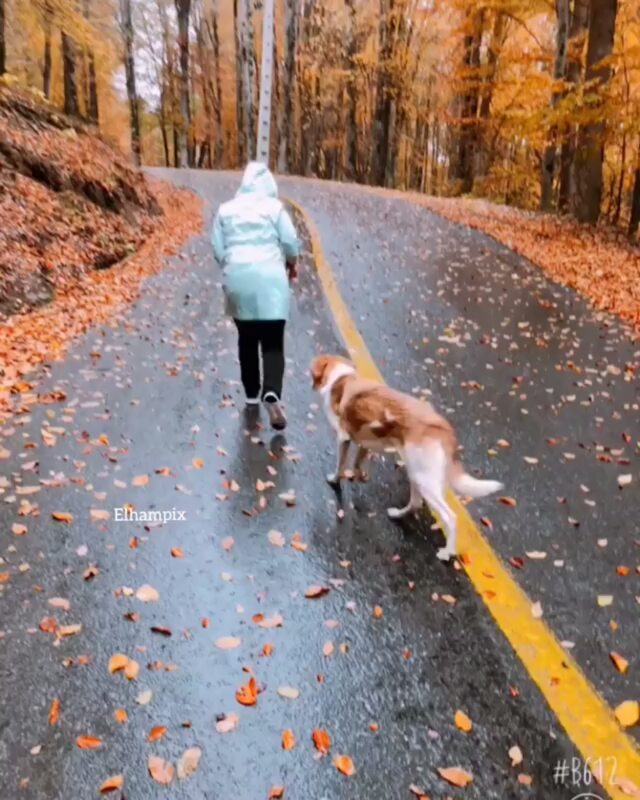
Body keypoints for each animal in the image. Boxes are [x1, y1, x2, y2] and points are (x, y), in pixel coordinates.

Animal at [312, 356, 504, 564]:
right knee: (416, 503)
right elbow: (357, 463)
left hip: (425, 481)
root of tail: (443, 428)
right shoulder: (365, 443)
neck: (341, 378)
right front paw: (359, 476)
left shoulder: (343, 438)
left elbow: (340, 465)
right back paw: (397, 514)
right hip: (416, 473)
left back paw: (447, 552)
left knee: (450, 518)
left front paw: (335, 479)